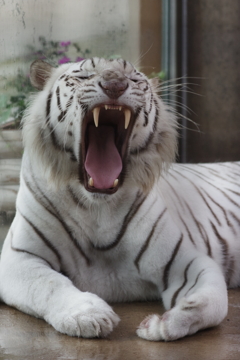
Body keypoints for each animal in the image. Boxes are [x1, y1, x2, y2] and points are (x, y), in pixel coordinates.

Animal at [0, 57, 240, 340]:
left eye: (135, 79)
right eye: (84, 76)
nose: (115, 84)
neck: (97, 208)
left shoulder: (185, 259)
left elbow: (213, 302)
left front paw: (163, 324)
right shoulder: (18, 257)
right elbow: (48, 283)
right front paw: (89, 315)